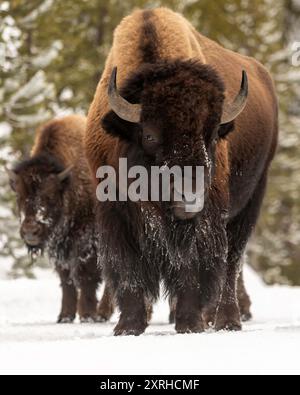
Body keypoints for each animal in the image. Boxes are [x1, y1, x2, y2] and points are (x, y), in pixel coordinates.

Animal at [7, 115, 115, 324]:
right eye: (19, 196)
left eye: (49, 196)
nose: (30, 231)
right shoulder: (59, 248)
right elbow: (66, 279)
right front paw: (65, 316)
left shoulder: (88, 243)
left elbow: (85, 276)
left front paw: (86, 314)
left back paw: (102, 313)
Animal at [84, 7, 276, 336]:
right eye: (149, 135)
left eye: (211, 135)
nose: (189, 199)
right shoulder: (114, 214)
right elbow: (128, 270)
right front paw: (128, 326)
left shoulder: (207, 218)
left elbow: (193, 269)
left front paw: (190, 323)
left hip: (250, 203)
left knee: (232, 264)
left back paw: (226, 321)